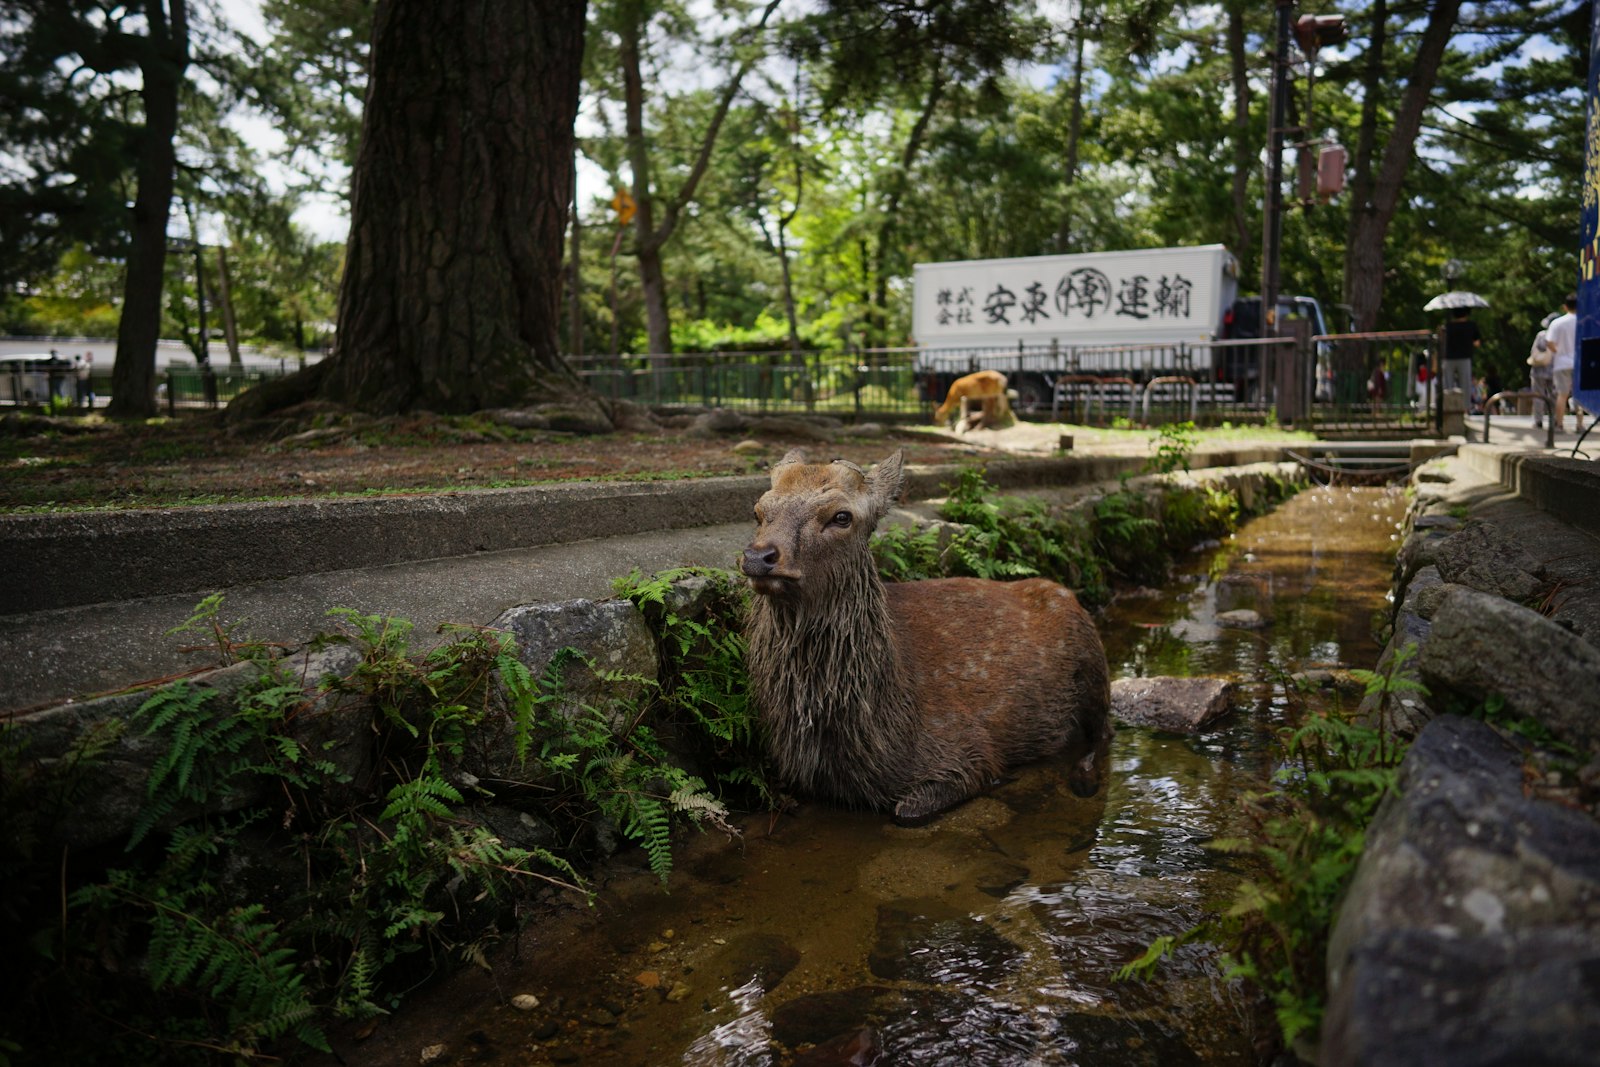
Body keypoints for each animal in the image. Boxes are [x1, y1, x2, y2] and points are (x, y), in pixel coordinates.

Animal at [739, 447, 1107, 825]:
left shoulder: (966, 751)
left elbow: (907, 811)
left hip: (1094, 662)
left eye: (842, 516)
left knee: (1102, 733)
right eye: (758, 510)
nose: (758, 556)